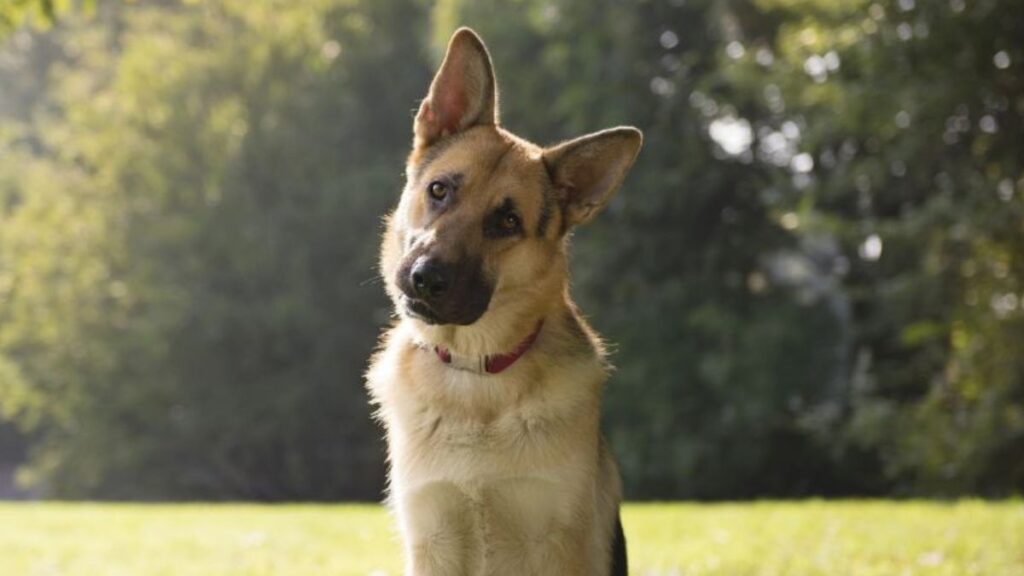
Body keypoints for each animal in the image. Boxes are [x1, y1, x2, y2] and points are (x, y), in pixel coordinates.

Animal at [366, 26, 638, 573]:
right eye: (440, 190)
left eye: (506, 222)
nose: (425, 279)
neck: (474, 374)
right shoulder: (431, 539)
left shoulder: (554, 542)